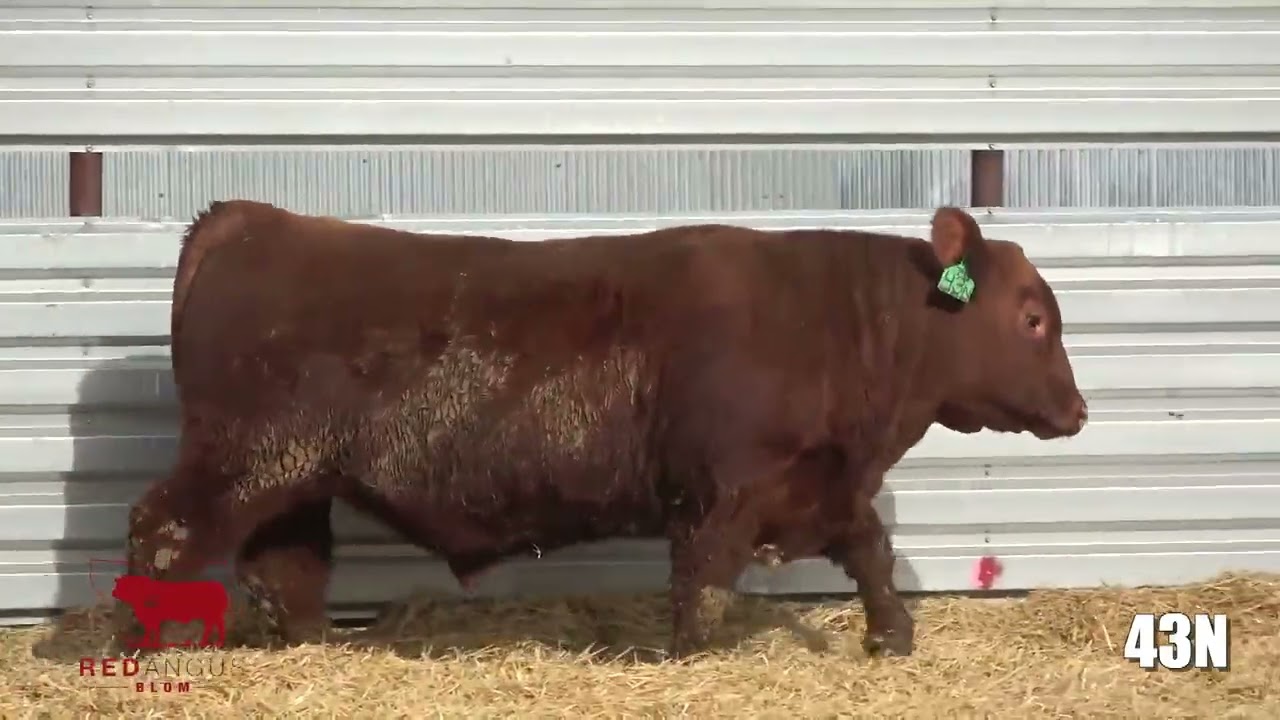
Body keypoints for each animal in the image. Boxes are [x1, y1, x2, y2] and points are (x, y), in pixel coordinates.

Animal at [118, 199, 1087, 660]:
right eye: (1034, 317)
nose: (1077, 411)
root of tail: (248, 218)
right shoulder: (722, 490)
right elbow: (703, 586)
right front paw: (687, 662)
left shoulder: (823, 484)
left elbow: (873, 556)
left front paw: (893, 639)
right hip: (237, 461)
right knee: (157, 531)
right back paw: (138, 649)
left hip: (292, 478)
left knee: (285, 567)